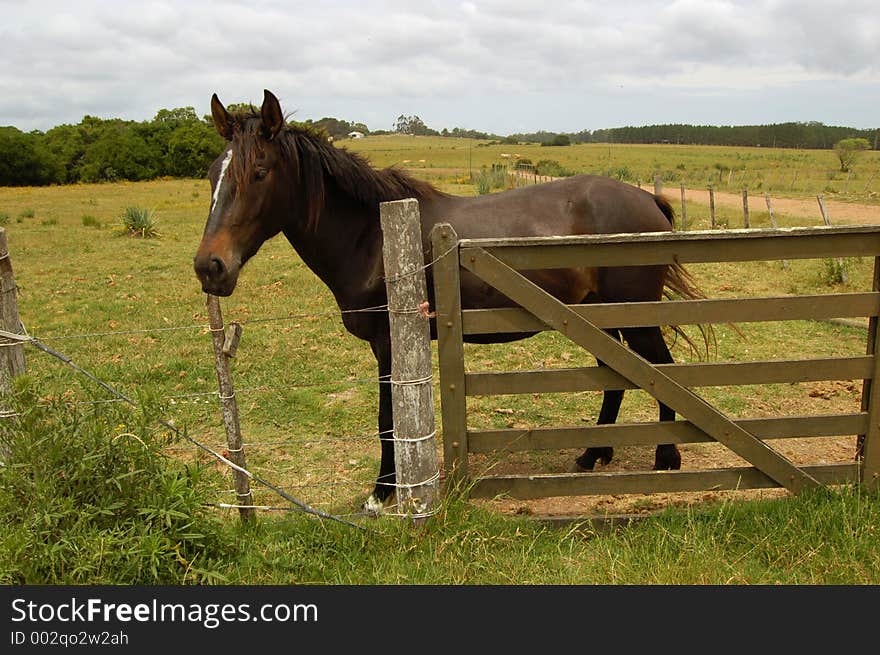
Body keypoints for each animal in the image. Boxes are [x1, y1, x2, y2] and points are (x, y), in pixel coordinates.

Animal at [194, 89, 708, 516]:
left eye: (259, 172)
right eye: (213, 174)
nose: (209, 267)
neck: (371, 236)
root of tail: (647, 200)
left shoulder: (390, 344)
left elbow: (388, 417)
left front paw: (383, 492)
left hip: (636, 318)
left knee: (662, 375)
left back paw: (665, 456)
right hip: (600, 317)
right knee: (618, 379)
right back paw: (593, 453)